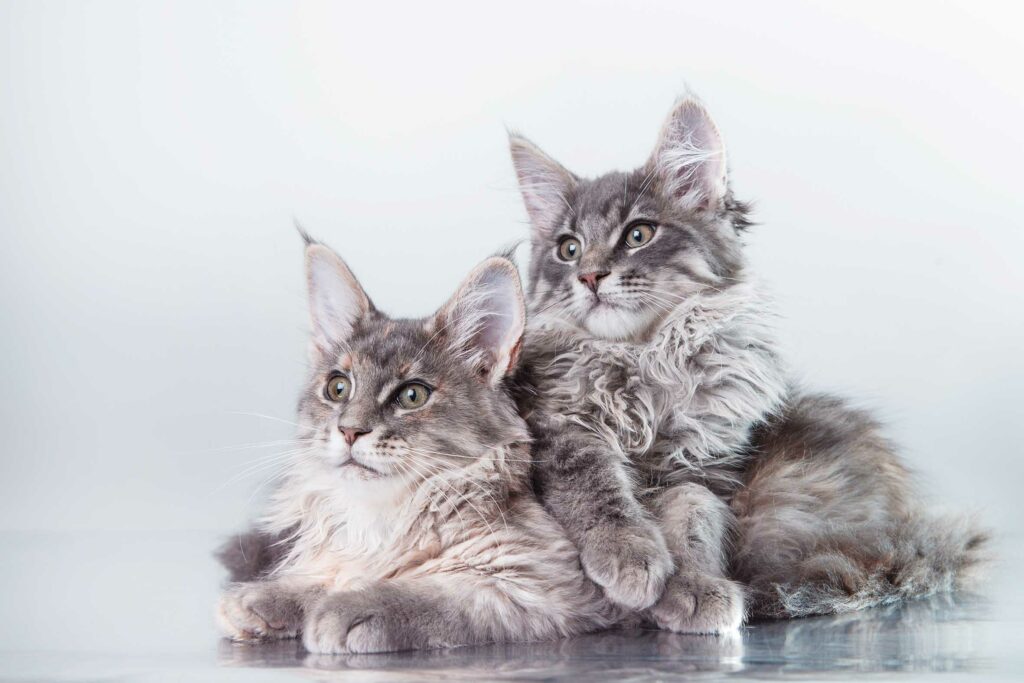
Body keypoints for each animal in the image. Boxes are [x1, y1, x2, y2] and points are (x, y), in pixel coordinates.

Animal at [216, 239, 614, 651]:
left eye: (412, 396)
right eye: (338, 388)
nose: (349, 431)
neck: (388, 515)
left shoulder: (543, 586)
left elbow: (426, 595)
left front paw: (347, 610)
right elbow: (334, 573)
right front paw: (267, 597)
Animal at [507, 93, 987, 634]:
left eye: (638, 234)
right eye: (568, 249)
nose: (589, 276)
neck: (644, 357)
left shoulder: (706, 466)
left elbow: (694, 514)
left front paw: (693, 586)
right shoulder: (554, 426)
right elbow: (595, 487)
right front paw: (628, 554)